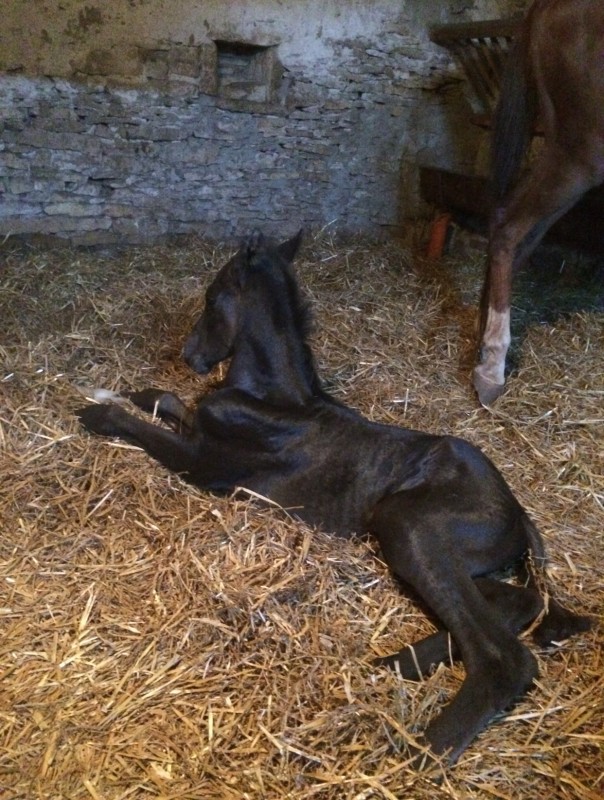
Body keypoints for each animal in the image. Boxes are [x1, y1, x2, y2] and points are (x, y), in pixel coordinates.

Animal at [77, 231, 591, 767]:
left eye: (212, 298)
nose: (189, 355)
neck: (273, 400)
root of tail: (517, 510)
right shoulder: (198, 432)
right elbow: (168, 401)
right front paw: (122, 389)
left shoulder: (203, 463)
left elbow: (145, 426)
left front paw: (96, 410)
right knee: (518, 600)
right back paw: (400, 661)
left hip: (407, 522)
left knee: (504, 654)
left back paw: (420, 748)